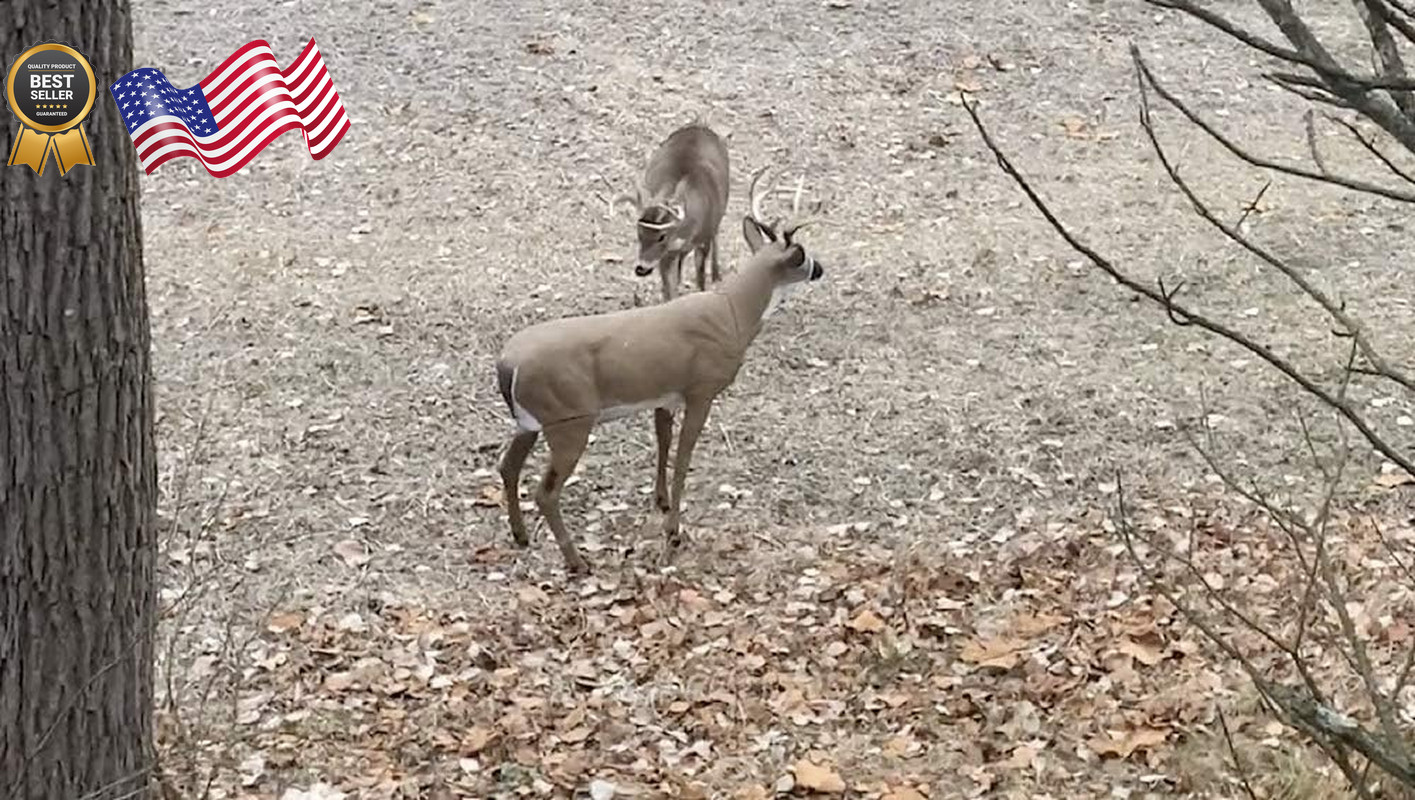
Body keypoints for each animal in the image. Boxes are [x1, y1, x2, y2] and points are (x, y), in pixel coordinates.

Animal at [495, 167, 824, 574]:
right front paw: (674, 531)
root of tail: (507, 364)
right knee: (545, 492)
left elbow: (663, 442)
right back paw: (576, 561)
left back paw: (521, 536)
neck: (734, 313)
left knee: (507, 467)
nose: (820, 269)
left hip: (529, 422)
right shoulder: (702, 388)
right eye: (804, 255)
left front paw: (661, 502)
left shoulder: (665, 393)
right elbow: (684, 458)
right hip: (568, 419)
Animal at [605, 123, 730, 303]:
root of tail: (699, 125)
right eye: (639, 233)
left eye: (661, 236)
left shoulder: (703, 239)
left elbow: (699, 278)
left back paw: (716, 274)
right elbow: (669, 288)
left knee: (716, 236)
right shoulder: (667, 254)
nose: (641, 268)